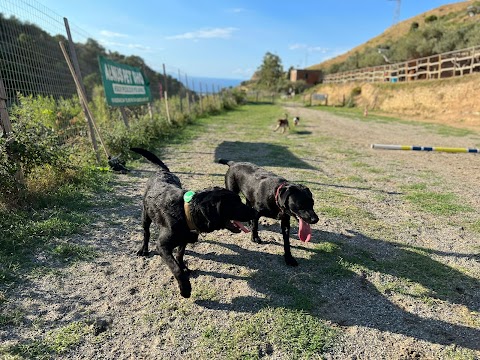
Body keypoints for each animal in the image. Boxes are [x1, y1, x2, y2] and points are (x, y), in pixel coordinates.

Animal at [129, 148, 253, 296]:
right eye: (236, 203)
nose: (255, 212)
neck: (185, 212)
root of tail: (162, 171)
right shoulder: (162, 246)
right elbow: (175, 268)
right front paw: (185, 288)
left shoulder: (184, 238)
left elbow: (180, 254)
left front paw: (184, 267)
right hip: (145, 215)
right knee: (146, 233)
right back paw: (143, 249)